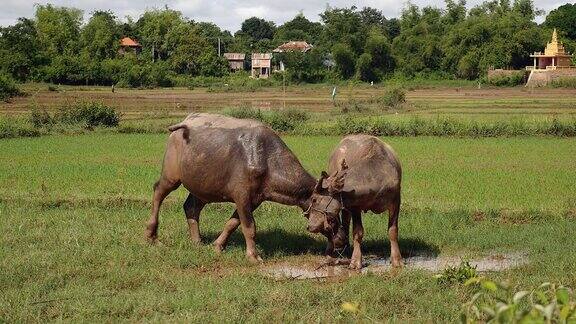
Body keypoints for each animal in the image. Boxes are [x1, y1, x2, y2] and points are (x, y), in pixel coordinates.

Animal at [143, 112, 320, 262]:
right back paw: (151, 237)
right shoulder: (242, 196)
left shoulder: (255, 199)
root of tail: (184, 122)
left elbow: (232, 223)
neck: (268, 161)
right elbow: (249, 226)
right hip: (171, 176)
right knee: (158, 192)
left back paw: (197, 242)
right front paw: (253, 256)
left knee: (191, 207)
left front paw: (217, 246)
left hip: (202, 185)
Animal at [304, 134, 402, 268]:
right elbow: (358, 232)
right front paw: (355, 261)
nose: (309, 226)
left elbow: (393, 231)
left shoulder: (396, 201)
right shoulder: (355, 206)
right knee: (343, 223)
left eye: (314, 199)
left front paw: (397, 260)